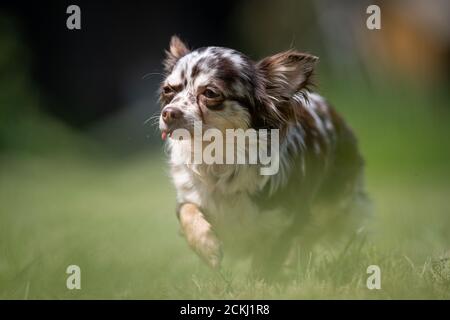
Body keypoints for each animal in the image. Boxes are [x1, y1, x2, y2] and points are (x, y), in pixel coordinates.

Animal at [158, 34, 370, 276]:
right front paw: (206, 246)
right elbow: (188, 210)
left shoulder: (288, 221)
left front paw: (261, 278)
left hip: (338, 204)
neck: (219, 158)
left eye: (210, 93)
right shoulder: (191, 197)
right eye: (167, 90)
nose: (168, 113)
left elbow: (268, 259)